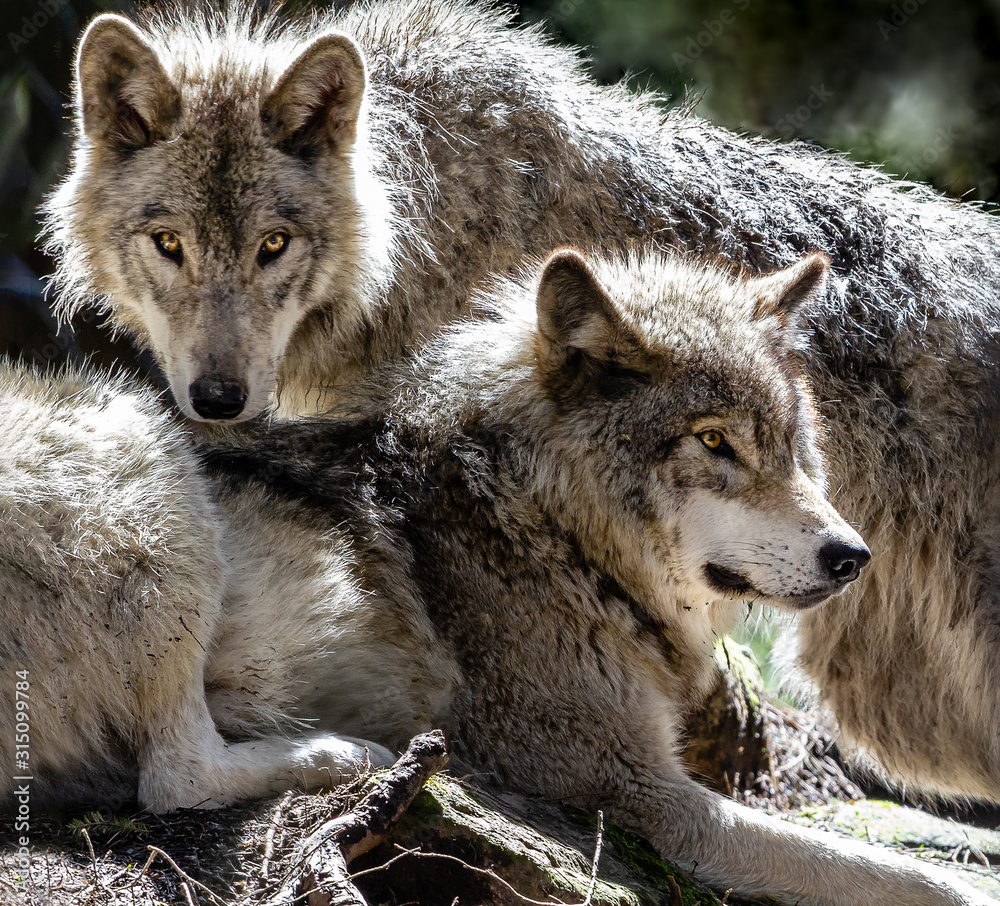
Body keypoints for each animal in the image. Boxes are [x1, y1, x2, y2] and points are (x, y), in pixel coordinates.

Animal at [3, 248, 994, 905]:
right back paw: (341, 756)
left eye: (791, 446)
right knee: (174, 776)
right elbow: (907, 875)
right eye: (713, 442)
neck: (544, 528)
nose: (851, 557)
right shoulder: (641, 795)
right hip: (145, 450)